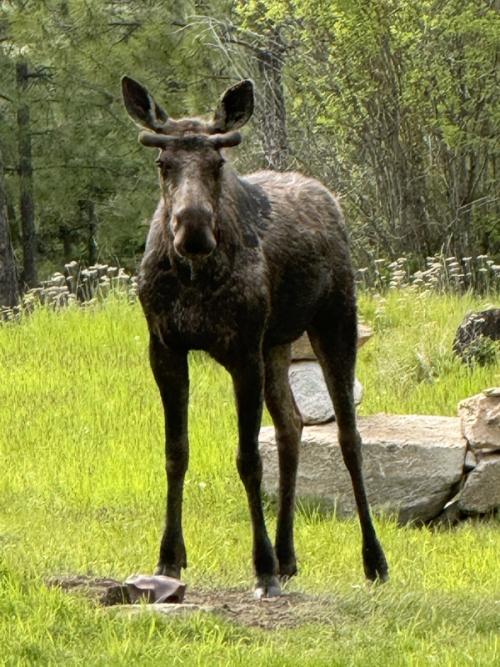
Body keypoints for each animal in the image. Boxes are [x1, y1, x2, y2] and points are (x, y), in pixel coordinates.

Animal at [121, 76, 388, 598]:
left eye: (218, 163)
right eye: (163, 164)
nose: (193, 230)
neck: (194, 277)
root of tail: (327, 196)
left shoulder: (242, 350)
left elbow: (247, 458)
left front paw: (260, 566)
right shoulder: (164, 347)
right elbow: (175, 452)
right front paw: (169, 559)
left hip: (333, 320)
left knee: (348, 436)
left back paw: (372, 559)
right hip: (277, 344)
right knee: (292, 424)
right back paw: (288, 555)